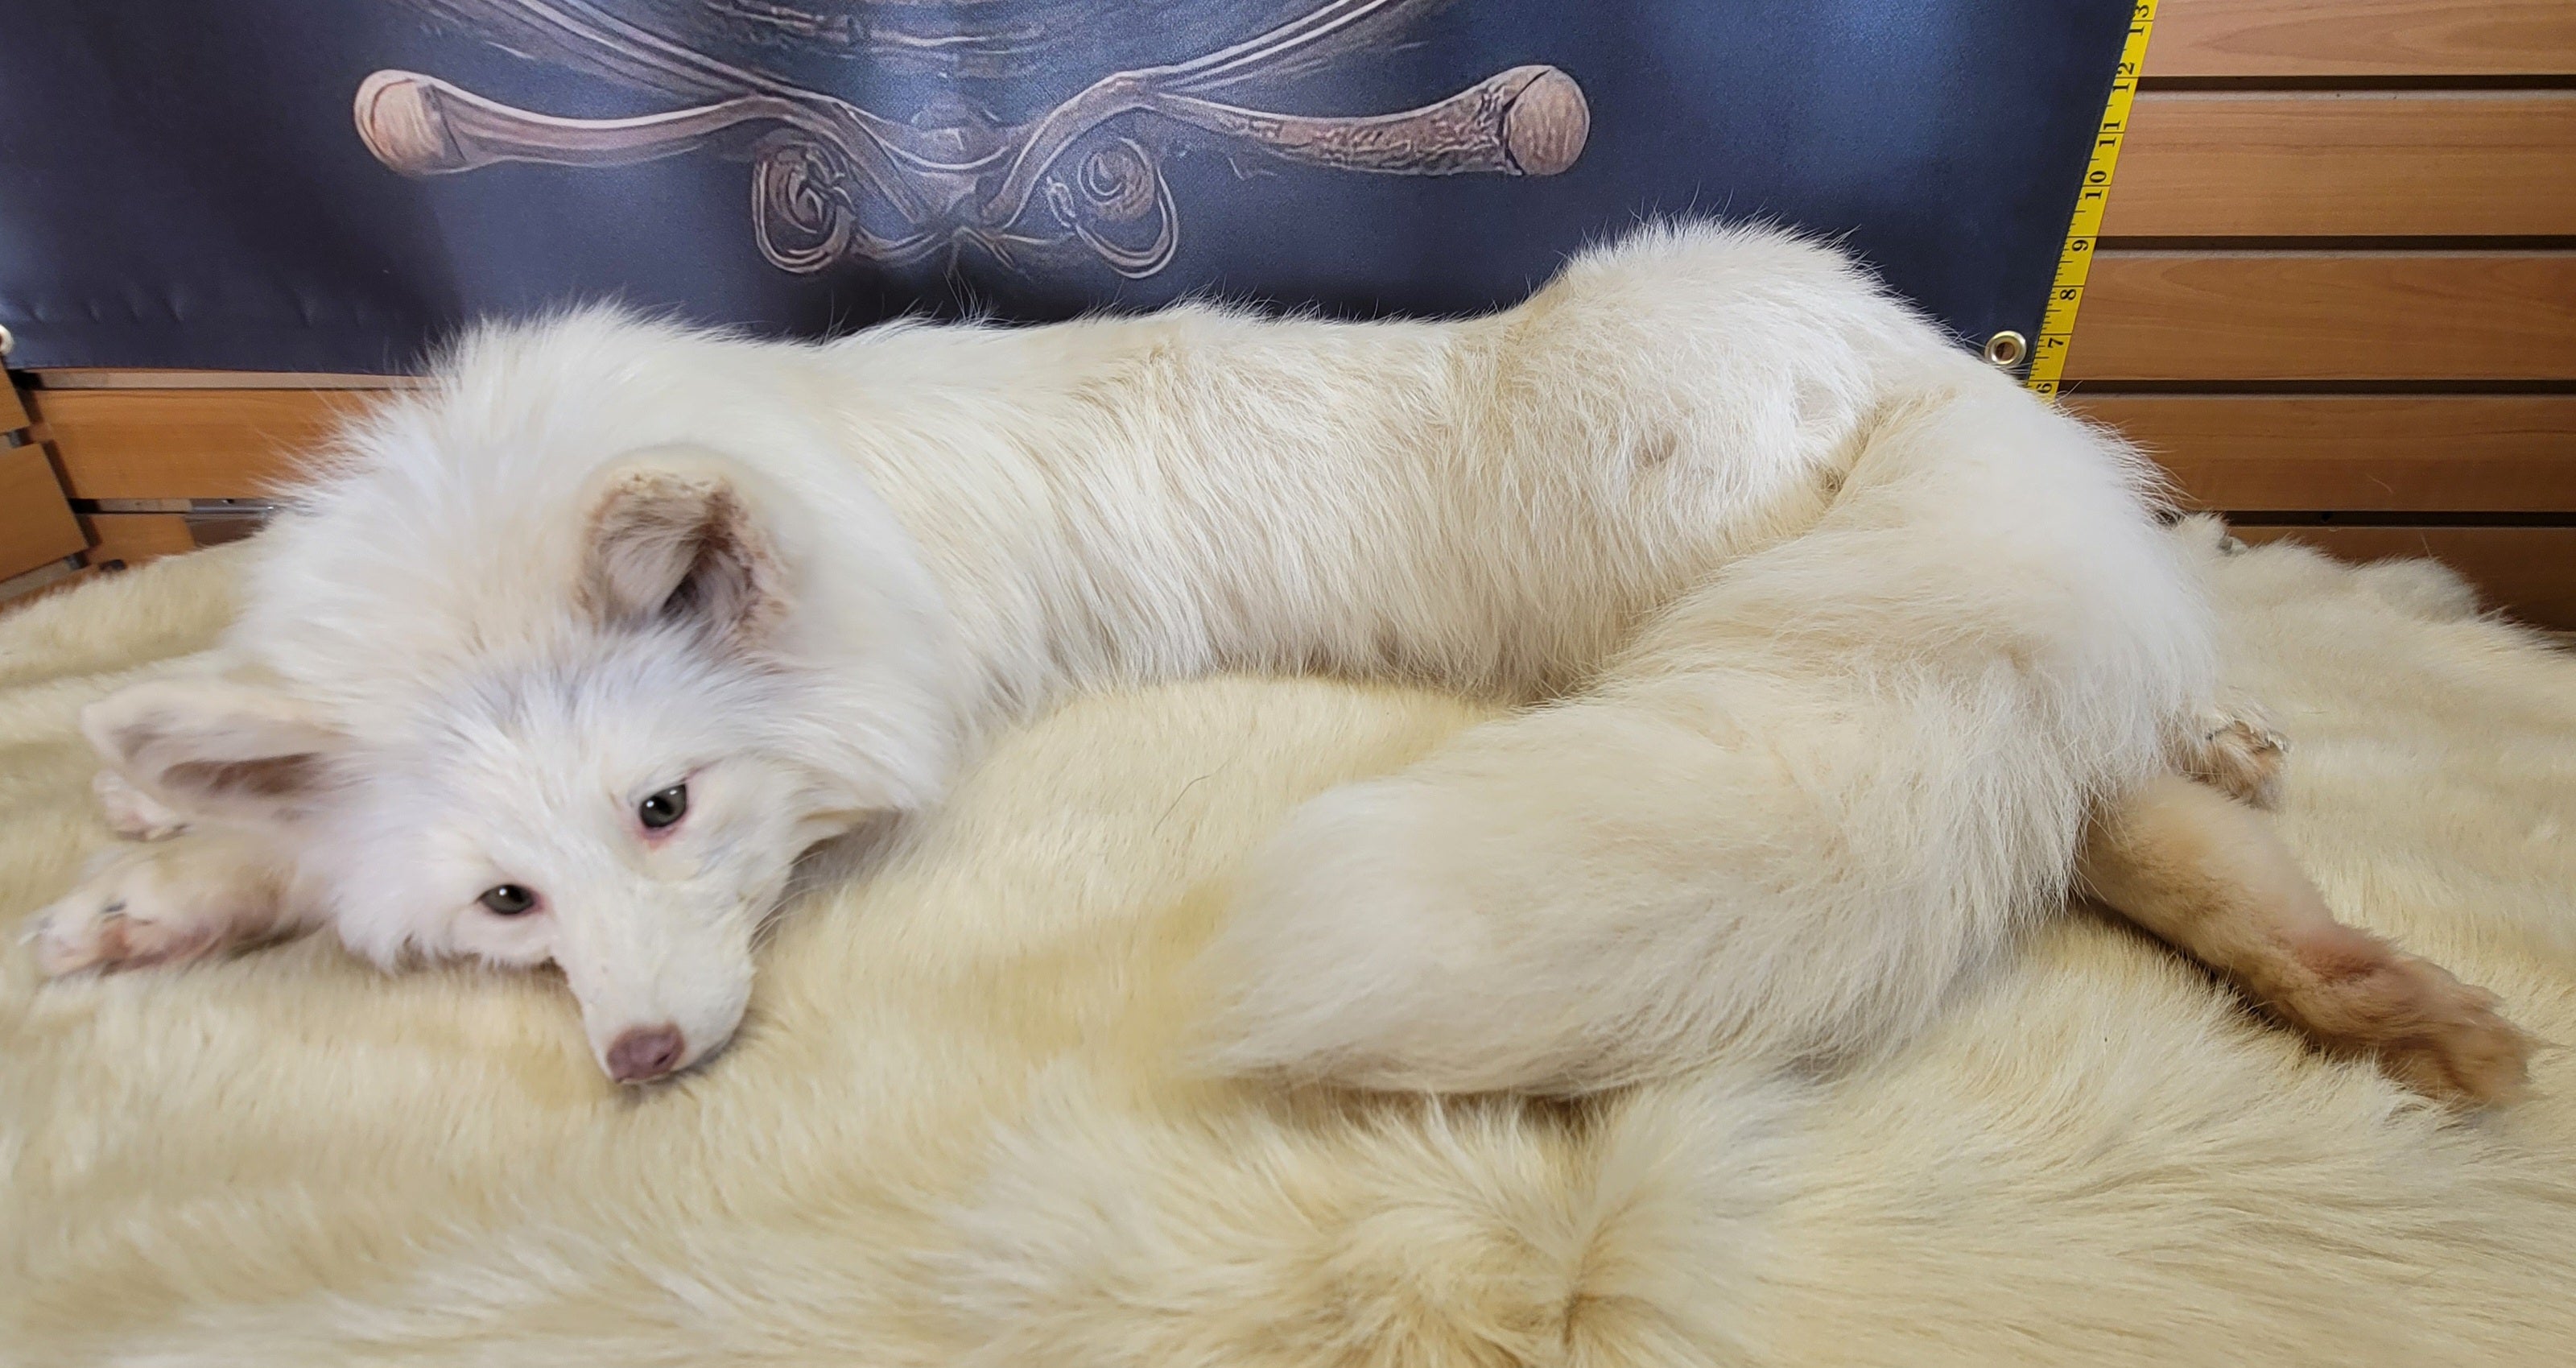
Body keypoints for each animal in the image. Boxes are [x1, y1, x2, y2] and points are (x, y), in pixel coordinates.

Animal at [29, 223, 2529, 1103]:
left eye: (672, 806)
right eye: (504, 905)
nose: (640, 1059)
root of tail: (1875, 341)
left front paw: (163, 861)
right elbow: (254, 825)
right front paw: (154, 870)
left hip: (1748, 604)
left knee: (2116, 783)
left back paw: (2357, 967)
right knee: (2129, 718)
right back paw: (2335, 913)